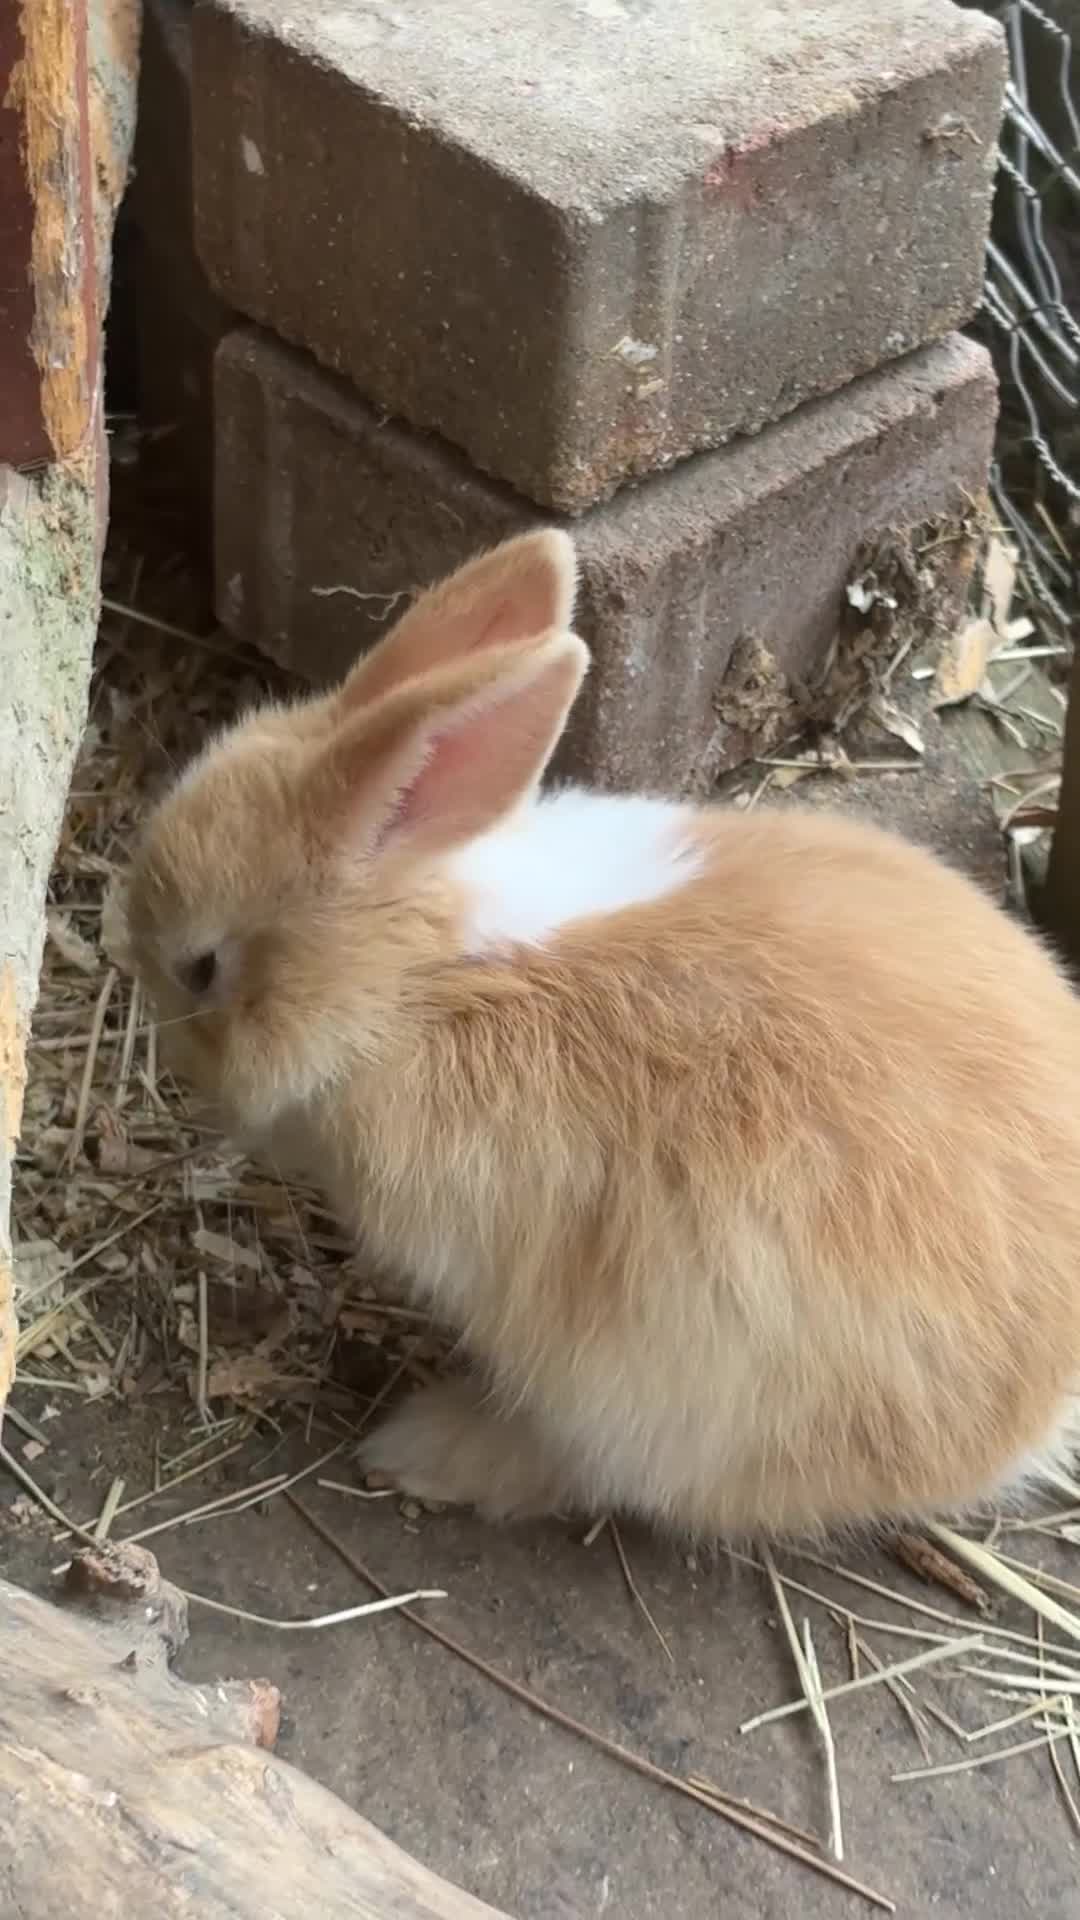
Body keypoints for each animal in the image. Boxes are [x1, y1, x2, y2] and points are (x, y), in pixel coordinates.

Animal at [121, 527, 1080, 1540]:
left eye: (200, 968)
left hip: (660, 1402)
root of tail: (1040, 1409)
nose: (179, 1061)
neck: (418, 976)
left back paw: (425, 1449)